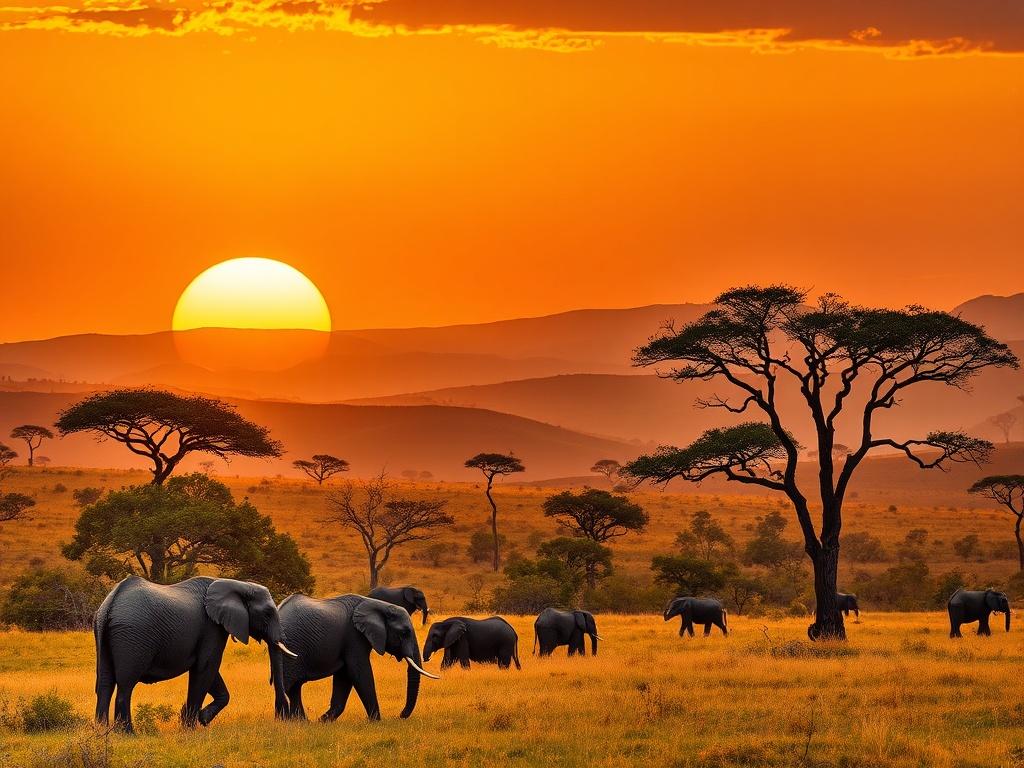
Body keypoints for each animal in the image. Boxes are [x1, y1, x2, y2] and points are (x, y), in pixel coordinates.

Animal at [93, 575, 294, 734]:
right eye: (267, 614)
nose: (282, 714)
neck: (237, 584)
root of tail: (110, 604)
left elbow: (210, 673)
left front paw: (199, 719)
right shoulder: (212, 627)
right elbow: (206, 667)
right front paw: (190, 727)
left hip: (104, 634)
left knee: (105, 682)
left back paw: (102, 731)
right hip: (132, 637)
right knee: (125, 685)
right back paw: (127, 733)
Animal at [278, 594, 437, 722]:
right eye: (404, 632)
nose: (400, 715)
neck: (379, 605)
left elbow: (344, 675)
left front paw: (322, 721)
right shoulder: (354, 636)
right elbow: (359, 672)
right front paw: (377, 722)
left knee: (295, 687)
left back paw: (301, 722)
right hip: (291, 646)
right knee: (288, 684)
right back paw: (285, 722)